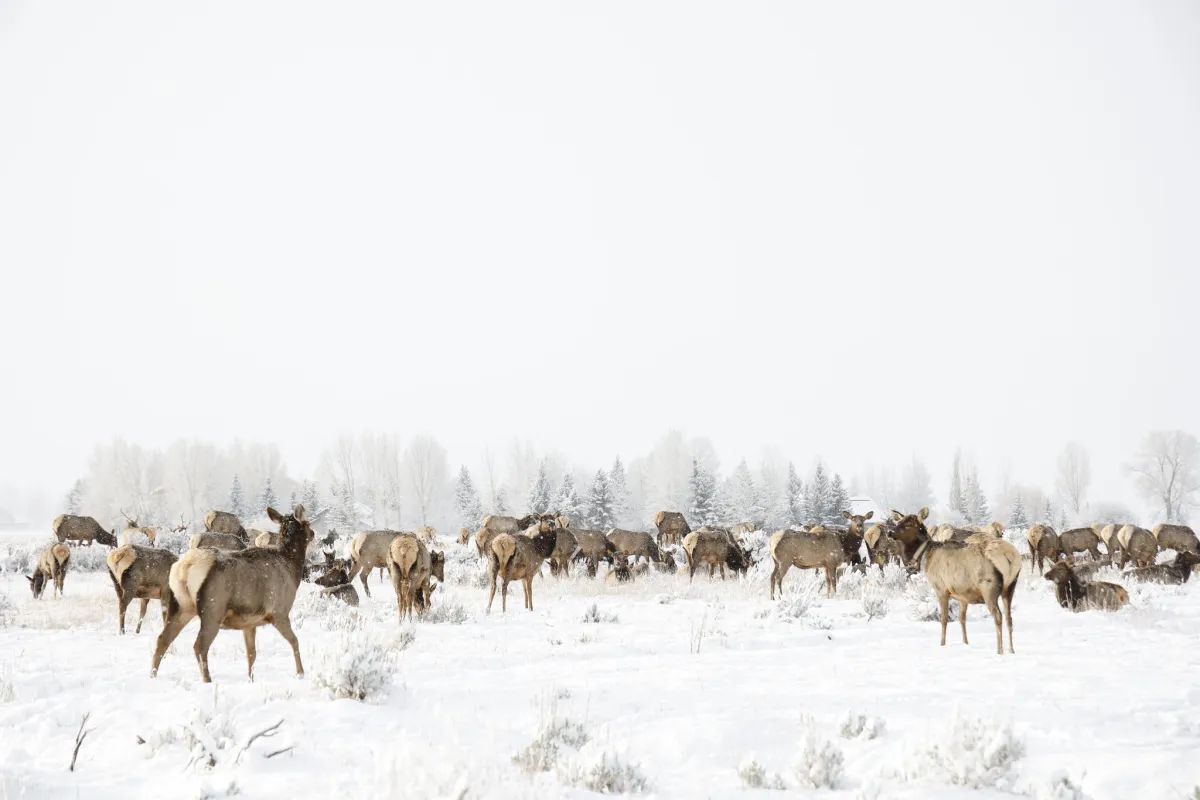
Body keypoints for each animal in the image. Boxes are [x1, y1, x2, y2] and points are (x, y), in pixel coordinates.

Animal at [151, 506, 314, 681]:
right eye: (308, 523)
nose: (313, 533)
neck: (292, 567)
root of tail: (184, 568)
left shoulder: (250, 622)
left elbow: (251, 654)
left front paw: (251, 679)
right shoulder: (279, 612)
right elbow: (295, 641)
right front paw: (301, 672)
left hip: (181, 605)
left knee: (162, 638)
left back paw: (152, 675)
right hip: (213, 609)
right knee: (199, 646)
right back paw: (207, 680)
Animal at [892, 506, 1022, 657]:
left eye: (909, 524)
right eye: (899, 521)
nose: (890, 532)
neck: (925, 558)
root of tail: (1010, 556)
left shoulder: (941, 588)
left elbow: (944, 619)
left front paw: (942, 644)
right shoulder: (962, 595)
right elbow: (962, 618)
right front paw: (965, 643)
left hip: (989, 588)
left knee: (998, 616)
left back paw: (1000, 651)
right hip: (1010, 586)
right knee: (1009, 618)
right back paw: (1011, 650)